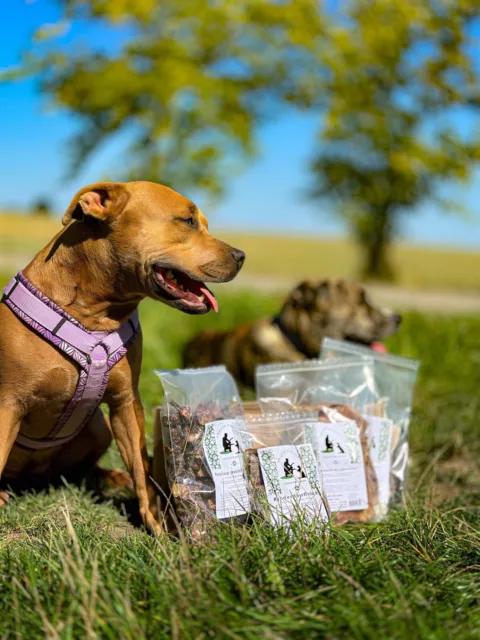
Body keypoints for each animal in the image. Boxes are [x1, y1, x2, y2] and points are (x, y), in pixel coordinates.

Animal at [0, 181, 246, 536]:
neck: (94, 313)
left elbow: (141, 470)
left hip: (98, 428)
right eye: (187, 221)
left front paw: (154, 522)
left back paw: (111, 478)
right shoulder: (8, 404)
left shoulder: (126, 403)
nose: (241, 256)